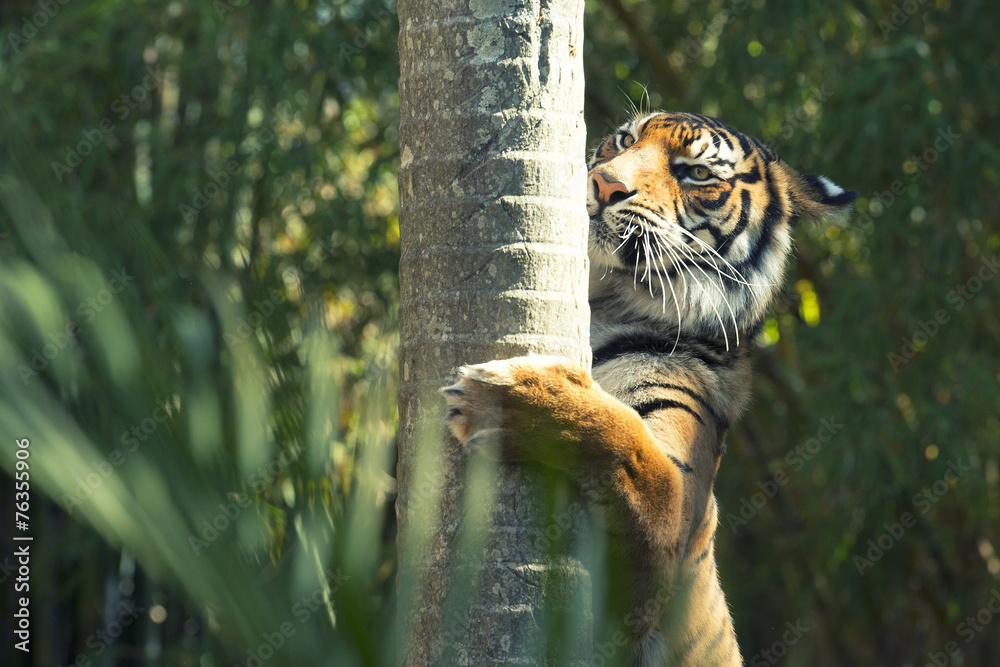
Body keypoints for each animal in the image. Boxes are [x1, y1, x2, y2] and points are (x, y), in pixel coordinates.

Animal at [442, 112, 856, 664]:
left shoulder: (668, 532)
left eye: (697, 174)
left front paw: (503, 397)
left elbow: (624, 443)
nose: (604, 184)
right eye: (624, 140)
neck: (605, 296)